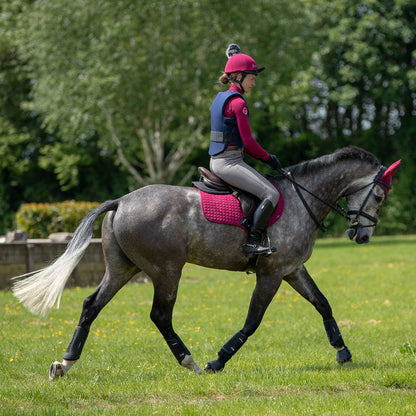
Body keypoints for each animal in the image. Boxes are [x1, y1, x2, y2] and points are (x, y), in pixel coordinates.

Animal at [10, 146, 400, 380]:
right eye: (379, 197)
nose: (362, 236)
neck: (300, 198)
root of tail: (121, 201)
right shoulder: (272, 274)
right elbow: (252, 322)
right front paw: (219, 360)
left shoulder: (292, 270)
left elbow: (323, 304)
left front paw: (343, 352)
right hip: (167, 270)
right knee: (160, 316)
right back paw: (191, 362)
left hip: (123, 269)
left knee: (92, 305)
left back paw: (64, 362)